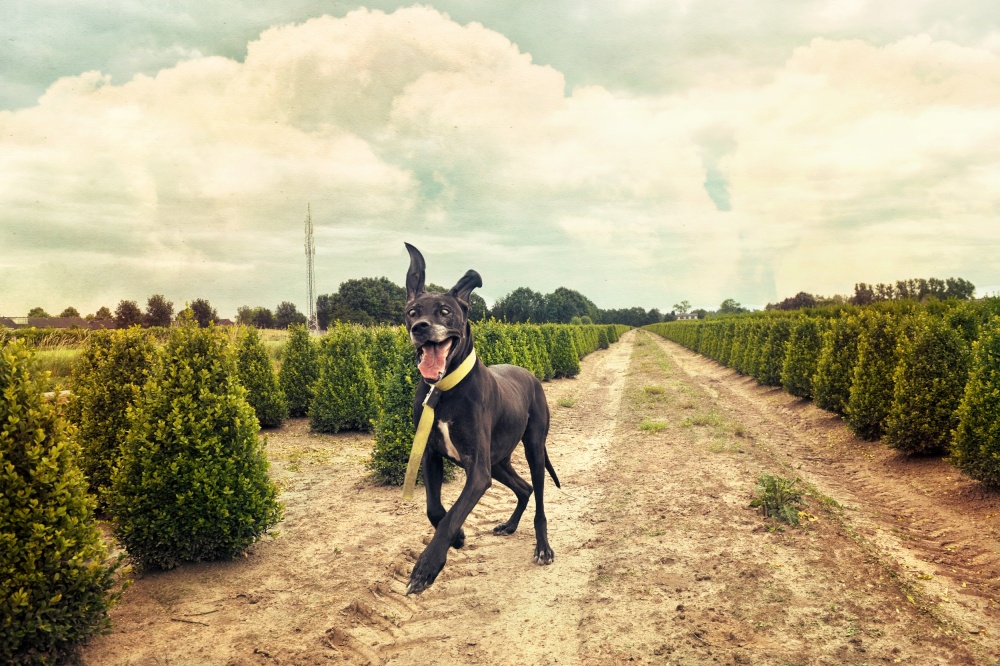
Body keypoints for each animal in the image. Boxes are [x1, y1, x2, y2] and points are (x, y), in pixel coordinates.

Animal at [402, 243, 560, 595]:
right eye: (412, 312)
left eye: (444, 311)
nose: (420, 329)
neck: (444, 390)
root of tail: (529, 374)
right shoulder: (432, 455)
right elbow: (436, 510)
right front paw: (458, 538)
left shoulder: (477, 471)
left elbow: (451, 515)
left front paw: (426, 568)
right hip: (498, 461)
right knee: (524, 488)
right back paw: (509, 525)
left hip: (532, 448)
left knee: (539, 500)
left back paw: (543, 547)